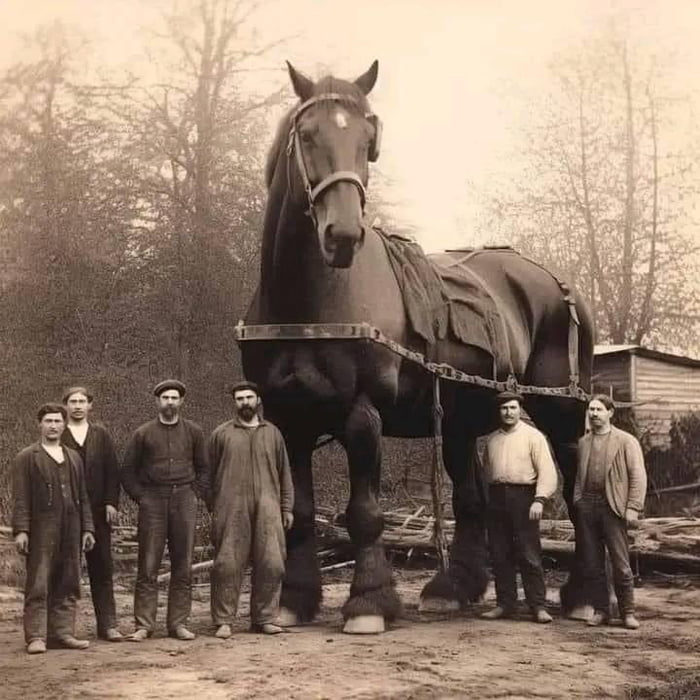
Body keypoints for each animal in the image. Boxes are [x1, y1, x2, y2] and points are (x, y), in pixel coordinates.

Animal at [240, 60, 594, 633]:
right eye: (308, 134)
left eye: (368, 140)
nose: (343, 234)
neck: (308, 303)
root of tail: (557, 282)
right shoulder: (292, 417)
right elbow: (303, 514)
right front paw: (295, 598)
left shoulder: (362, 415)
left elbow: (364, 515)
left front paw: (368, 601)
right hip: (462, 419)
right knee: (471, 500)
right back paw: (456, 589)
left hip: (561, 412)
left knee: (580, 498)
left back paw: (584, 595)